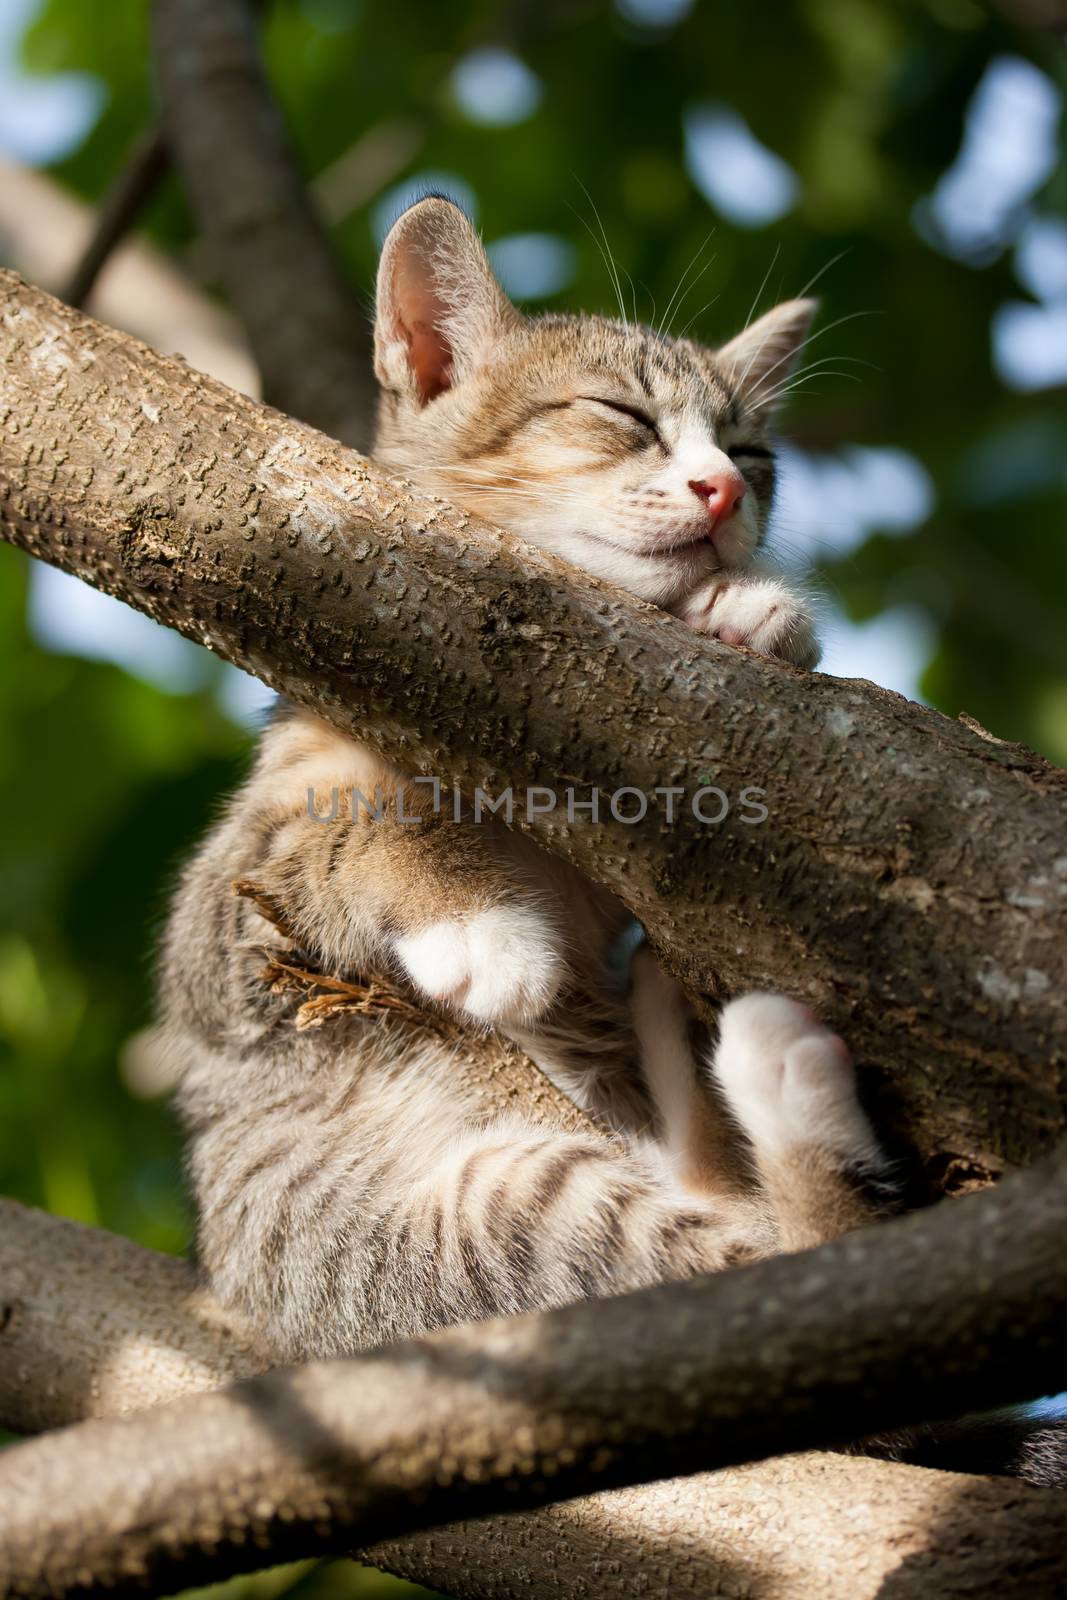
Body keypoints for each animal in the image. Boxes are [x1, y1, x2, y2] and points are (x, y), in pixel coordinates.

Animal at [160, 187, 895, 1369]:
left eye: (753, 452)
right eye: (620, 414)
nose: (722, 490)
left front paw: (752, 614)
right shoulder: (220, 940)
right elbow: (346, 827)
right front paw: (474, 920)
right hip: (480, 1228)